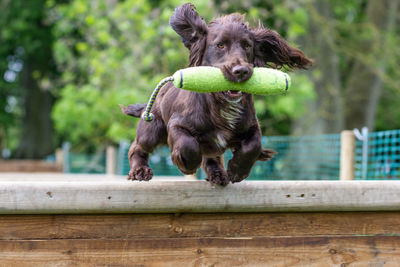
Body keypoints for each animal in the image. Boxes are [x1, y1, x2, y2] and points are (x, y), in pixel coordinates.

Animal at [120, 3, 310, 185]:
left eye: (247, 46)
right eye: (220, 45)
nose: (241, 71)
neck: (221, 104)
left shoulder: (252, 125)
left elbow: (253, 145)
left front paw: (237, 171)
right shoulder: (177, 124)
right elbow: (188, 144)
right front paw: (187, 164)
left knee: (212, 157)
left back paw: (218, 174)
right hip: (152, 128)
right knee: (137, 147)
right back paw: (139, 171)